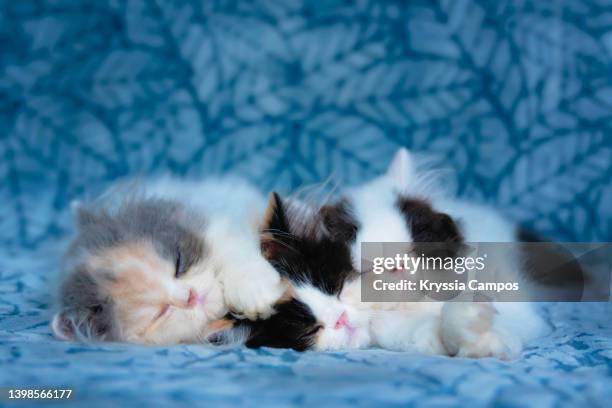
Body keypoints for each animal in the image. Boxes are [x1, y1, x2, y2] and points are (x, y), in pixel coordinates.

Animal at [51, 177, 286, 346]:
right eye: (160, 312)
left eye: (179, 264)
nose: (190, 296)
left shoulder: (213, 223)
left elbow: (232, 251)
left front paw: (255, 292)